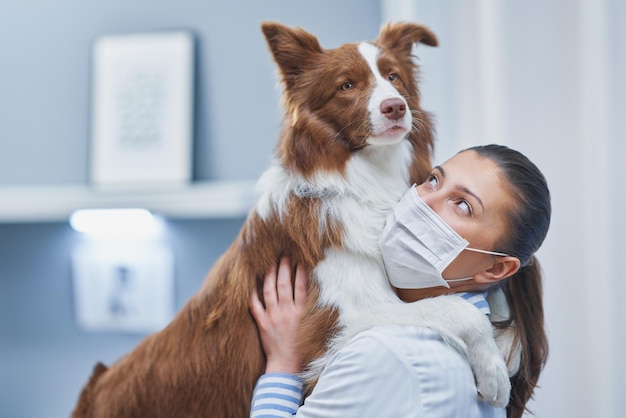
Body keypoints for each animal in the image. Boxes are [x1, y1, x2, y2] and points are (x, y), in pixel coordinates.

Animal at [70, 22, 508, 418]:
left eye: (393, 77)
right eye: (347, 85)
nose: (395, 106)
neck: (364, 178)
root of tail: (93, 388)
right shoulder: (340, 324)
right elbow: (459, 310)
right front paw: (495, 375)